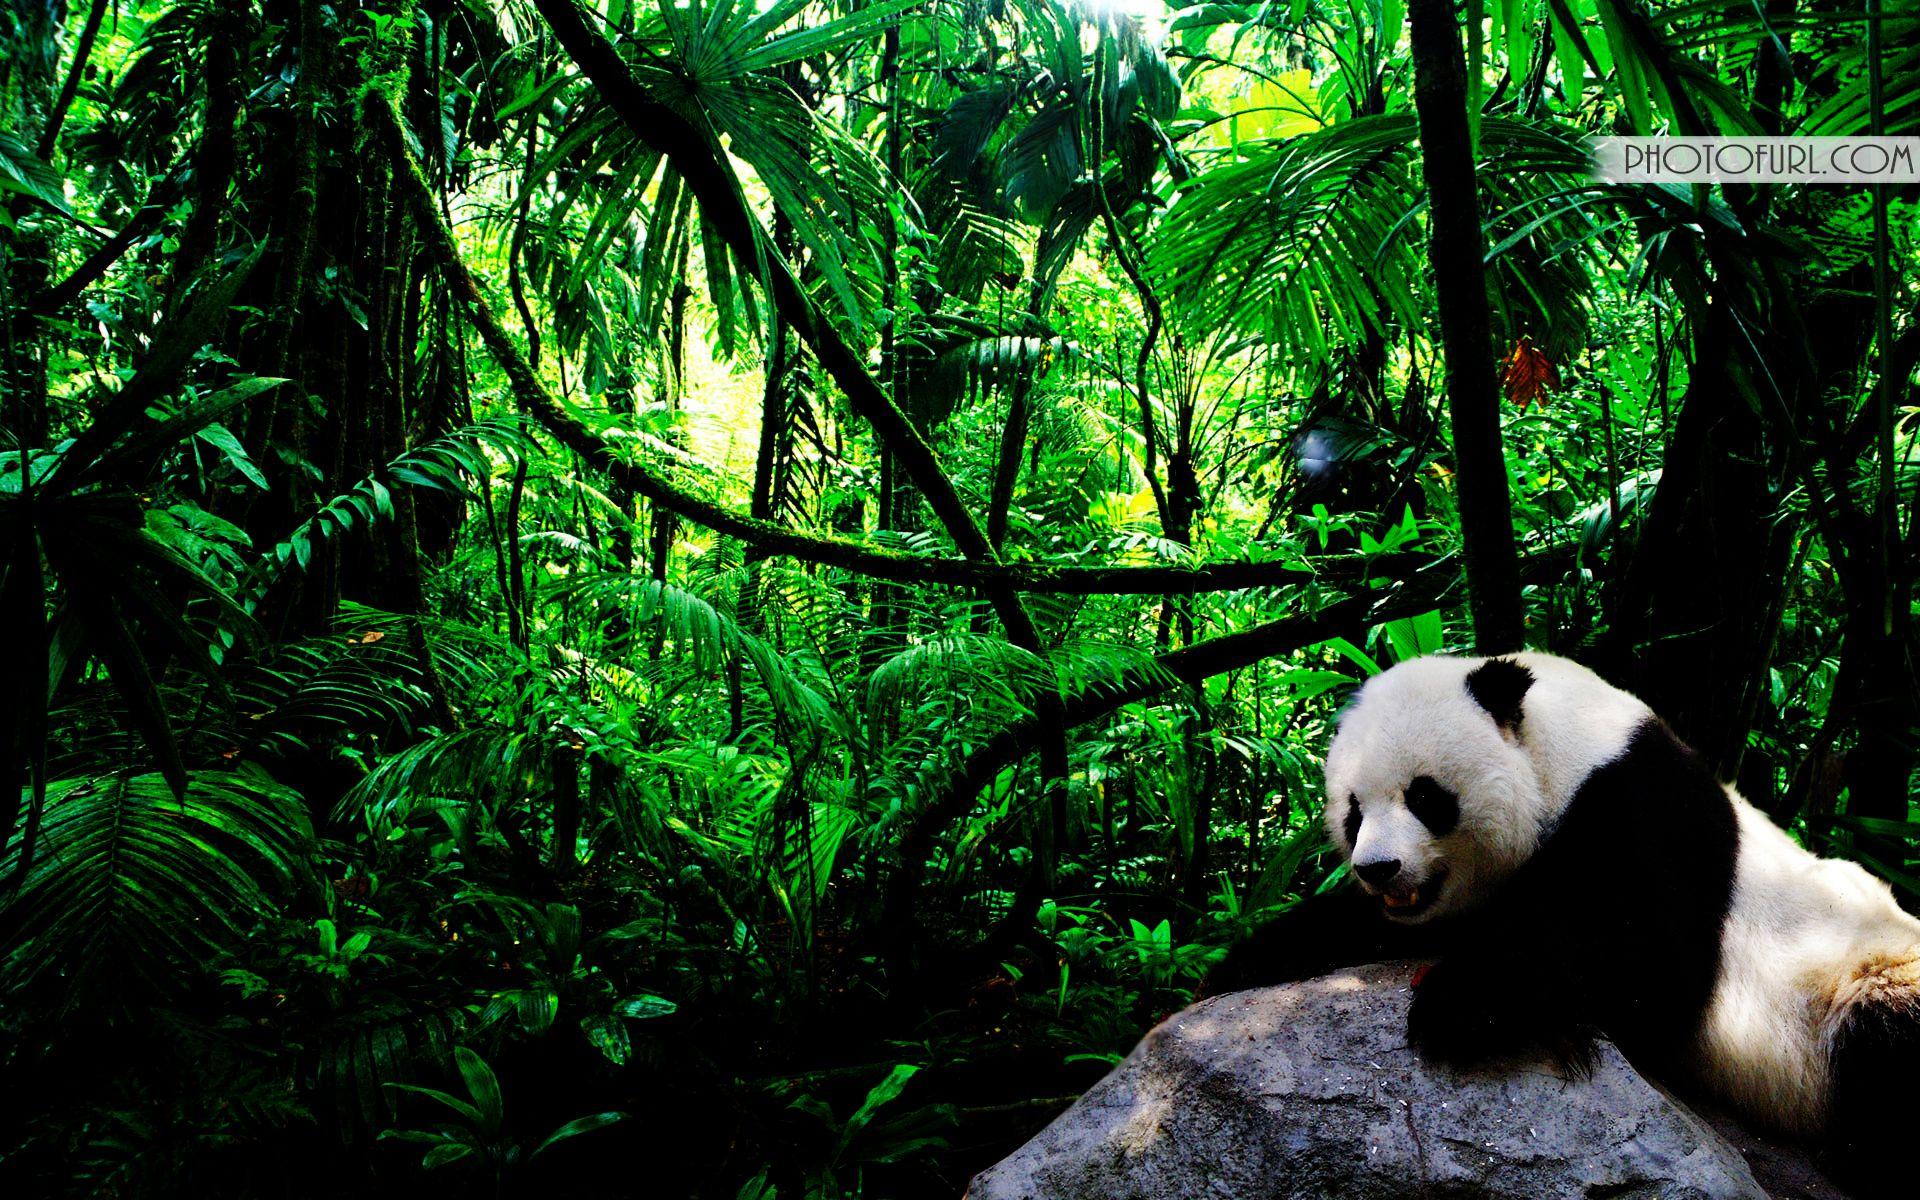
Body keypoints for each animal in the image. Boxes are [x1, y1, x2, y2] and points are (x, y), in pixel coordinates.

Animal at [1204, 651, 1920, 1198]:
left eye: (1425, 796)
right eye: (1353, 810)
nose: (1378, 869)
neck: (1567, 746)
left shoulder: (1644, 810)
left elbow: (1646, 966)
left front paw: (1461, 1004)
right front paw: (1244, 961)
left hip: (1862, 977)